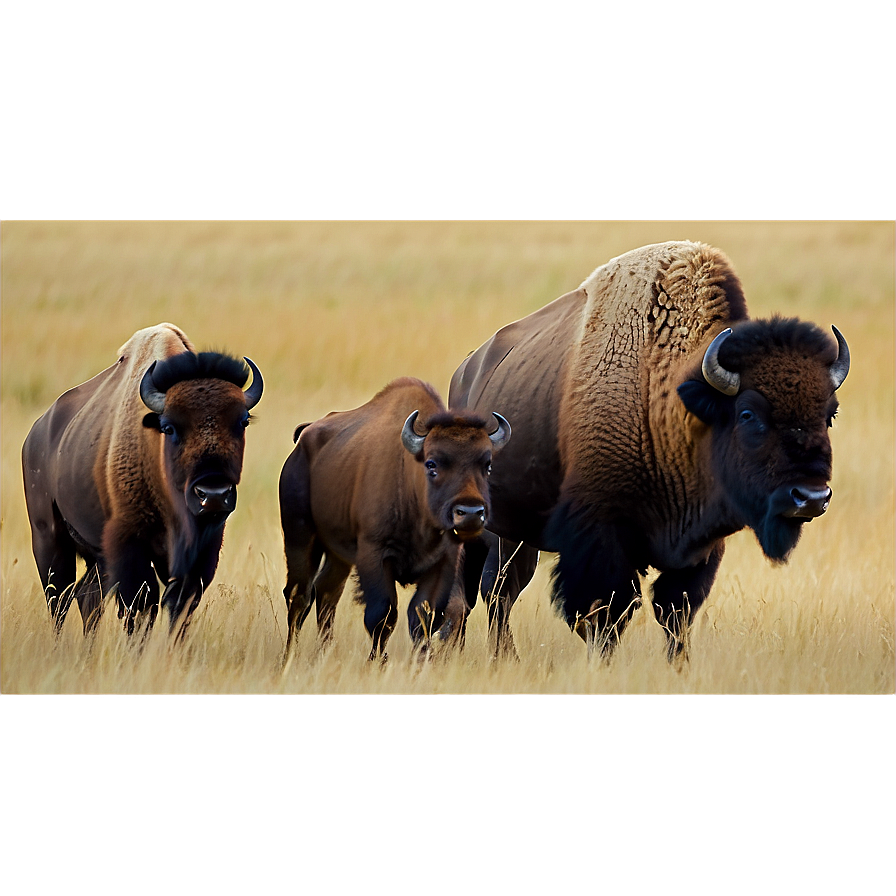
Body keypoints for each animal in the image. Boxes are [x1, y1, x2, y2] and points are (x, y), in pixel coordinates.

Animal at [21, 322, 262, 636]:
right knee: (59, 600)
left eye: (242, 421)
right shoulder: (130, 543)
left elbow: (181, 606)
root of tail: (35, 435)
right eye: (169, 427)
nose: (213, 495)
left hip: (97, 555)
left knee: (87, 598)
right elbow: (141, 606)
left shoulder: (202, 549)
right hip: (48, 537)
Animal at [278, 374, 512, 660]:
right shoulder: (375, 554)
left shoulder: (443, 562)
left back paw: (325, 650)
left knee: (326, 591)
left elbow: (423, 616)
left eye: (487, 464)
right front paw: (377, 661)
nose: (469, 513)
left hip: (338, 555)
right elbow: (383, 615)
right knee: (299, 595)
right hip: (300, 538)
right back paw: (289, 653)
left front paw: (422, 660)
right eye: (432, 464)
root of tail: (303, 440)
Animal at [452, 242, 852, 660]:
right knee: (492, 591)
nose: (811, 497)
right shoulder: (600, 538)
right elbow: (603, 613)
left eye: (829, 415)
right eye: (747, 414)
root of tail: (467, 369)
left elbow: (676, 611)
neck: (664, 397)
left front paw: (680, 665)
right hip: (496, 532)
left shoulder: (700, 547)